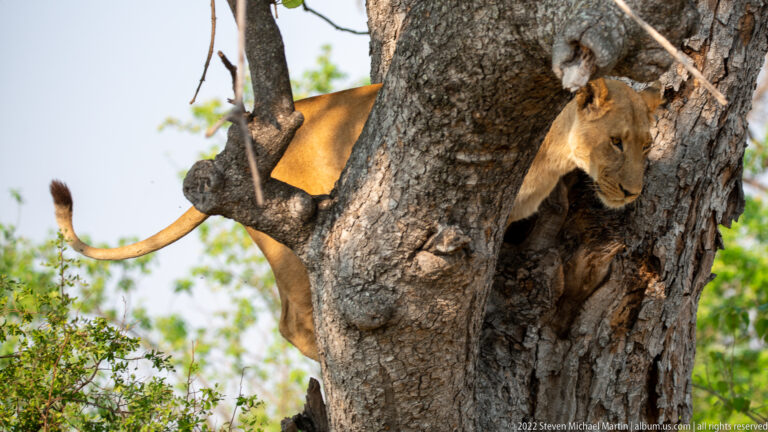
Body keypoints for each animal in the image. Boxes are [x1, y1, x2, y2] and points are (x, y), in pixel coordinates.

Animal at [50, 78, 662, 361]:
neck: (555, 150)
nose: (634, 191)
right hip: (290, 235)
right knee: (296, 319)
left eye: (645, 143)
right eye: (615, 141)